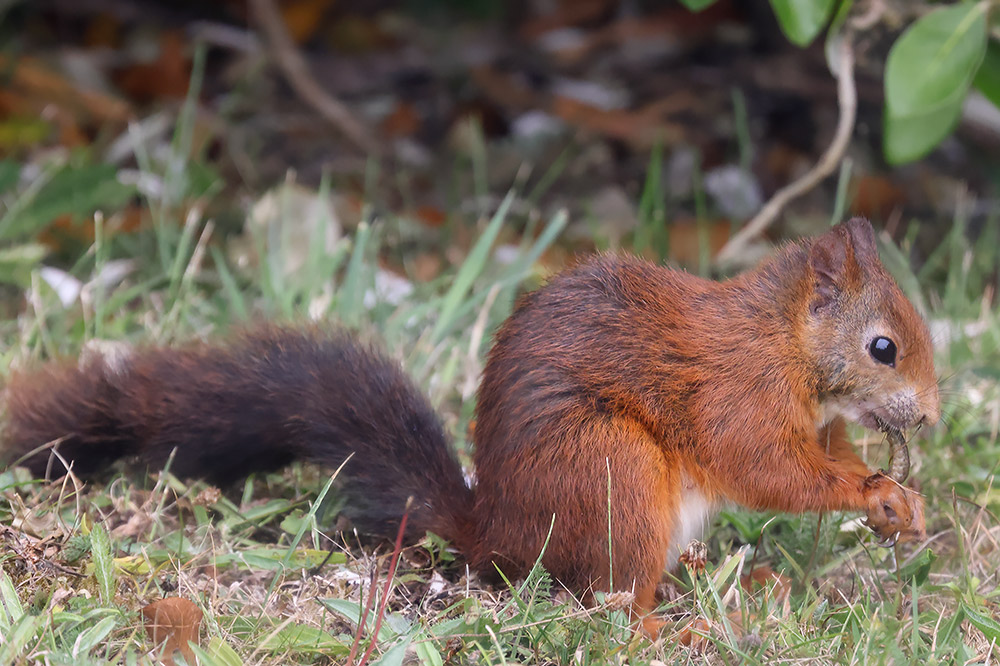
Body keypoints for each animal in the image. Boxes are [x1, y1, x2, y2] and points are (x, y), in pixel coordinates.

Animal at [1, 217, 939, 635]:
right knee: (608, 597)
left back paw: (735, 582)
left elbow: (821, 451)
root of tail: (496, 535)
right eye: (883, 347)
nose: (929, 414)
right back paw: (667, 621)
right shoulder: (738, 396)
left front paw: (901, 502)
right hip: (613, 470)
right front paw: (874, 490)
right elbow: (769, 469)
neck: (784, 340)